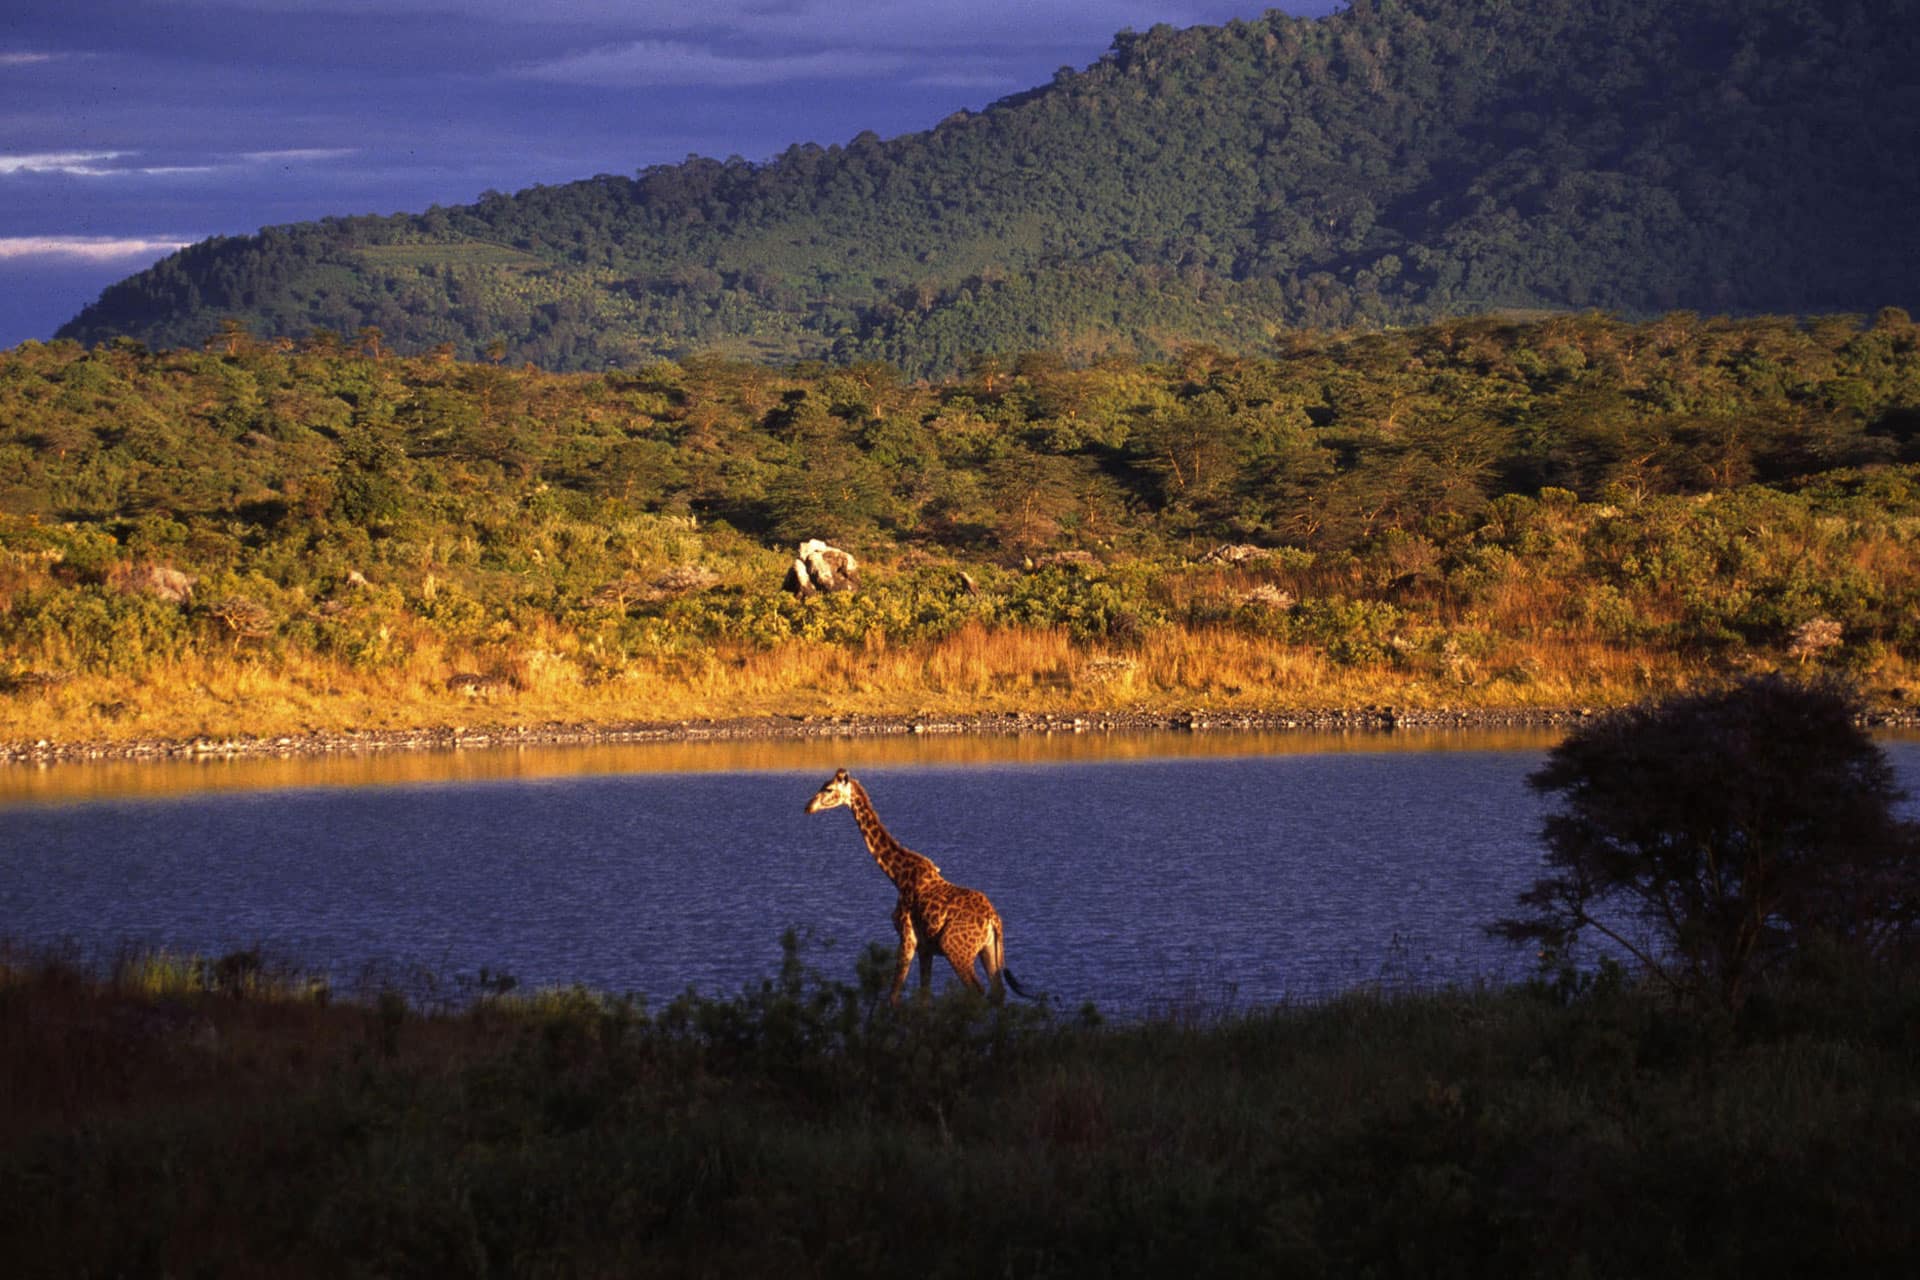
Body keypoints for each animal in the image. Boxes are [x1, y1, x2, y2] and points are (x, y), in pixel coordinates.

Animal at [804, 768, 1031, 1005]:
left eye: (828, 788)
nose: (808, 807)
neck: (897, 875)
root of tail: (993, 919)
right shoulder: (925, 947)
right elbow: (924, 995)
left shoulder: (907, 938)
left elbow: (894, 994)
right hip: (988, 949)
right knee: (998, 992)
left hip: (956, 950)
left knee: (977, 991)